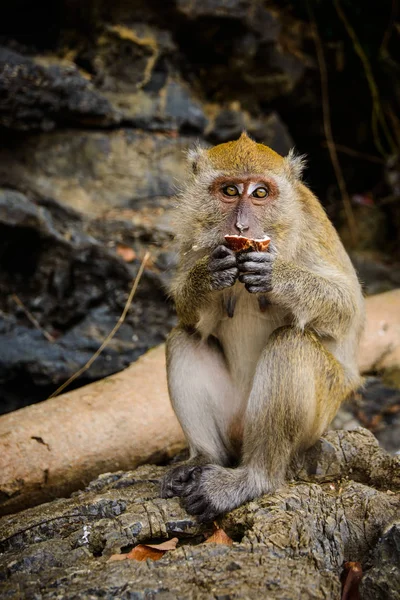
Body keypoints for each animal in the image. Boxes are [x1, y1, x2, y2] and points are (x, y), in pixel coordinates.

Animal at [160, 131, 366, 520]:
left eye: (259, 193)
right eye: (229, 191)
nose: (241, 227)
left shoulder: (311, 223)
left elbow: (348, 308)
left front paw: (277, 275)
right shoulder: (194, 231)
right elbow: (187, 313)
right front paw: (204, 277)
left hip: (320, 416)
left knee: (290, 344)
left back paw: (254, 478)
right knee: (184, 338)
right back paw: (204, 457)